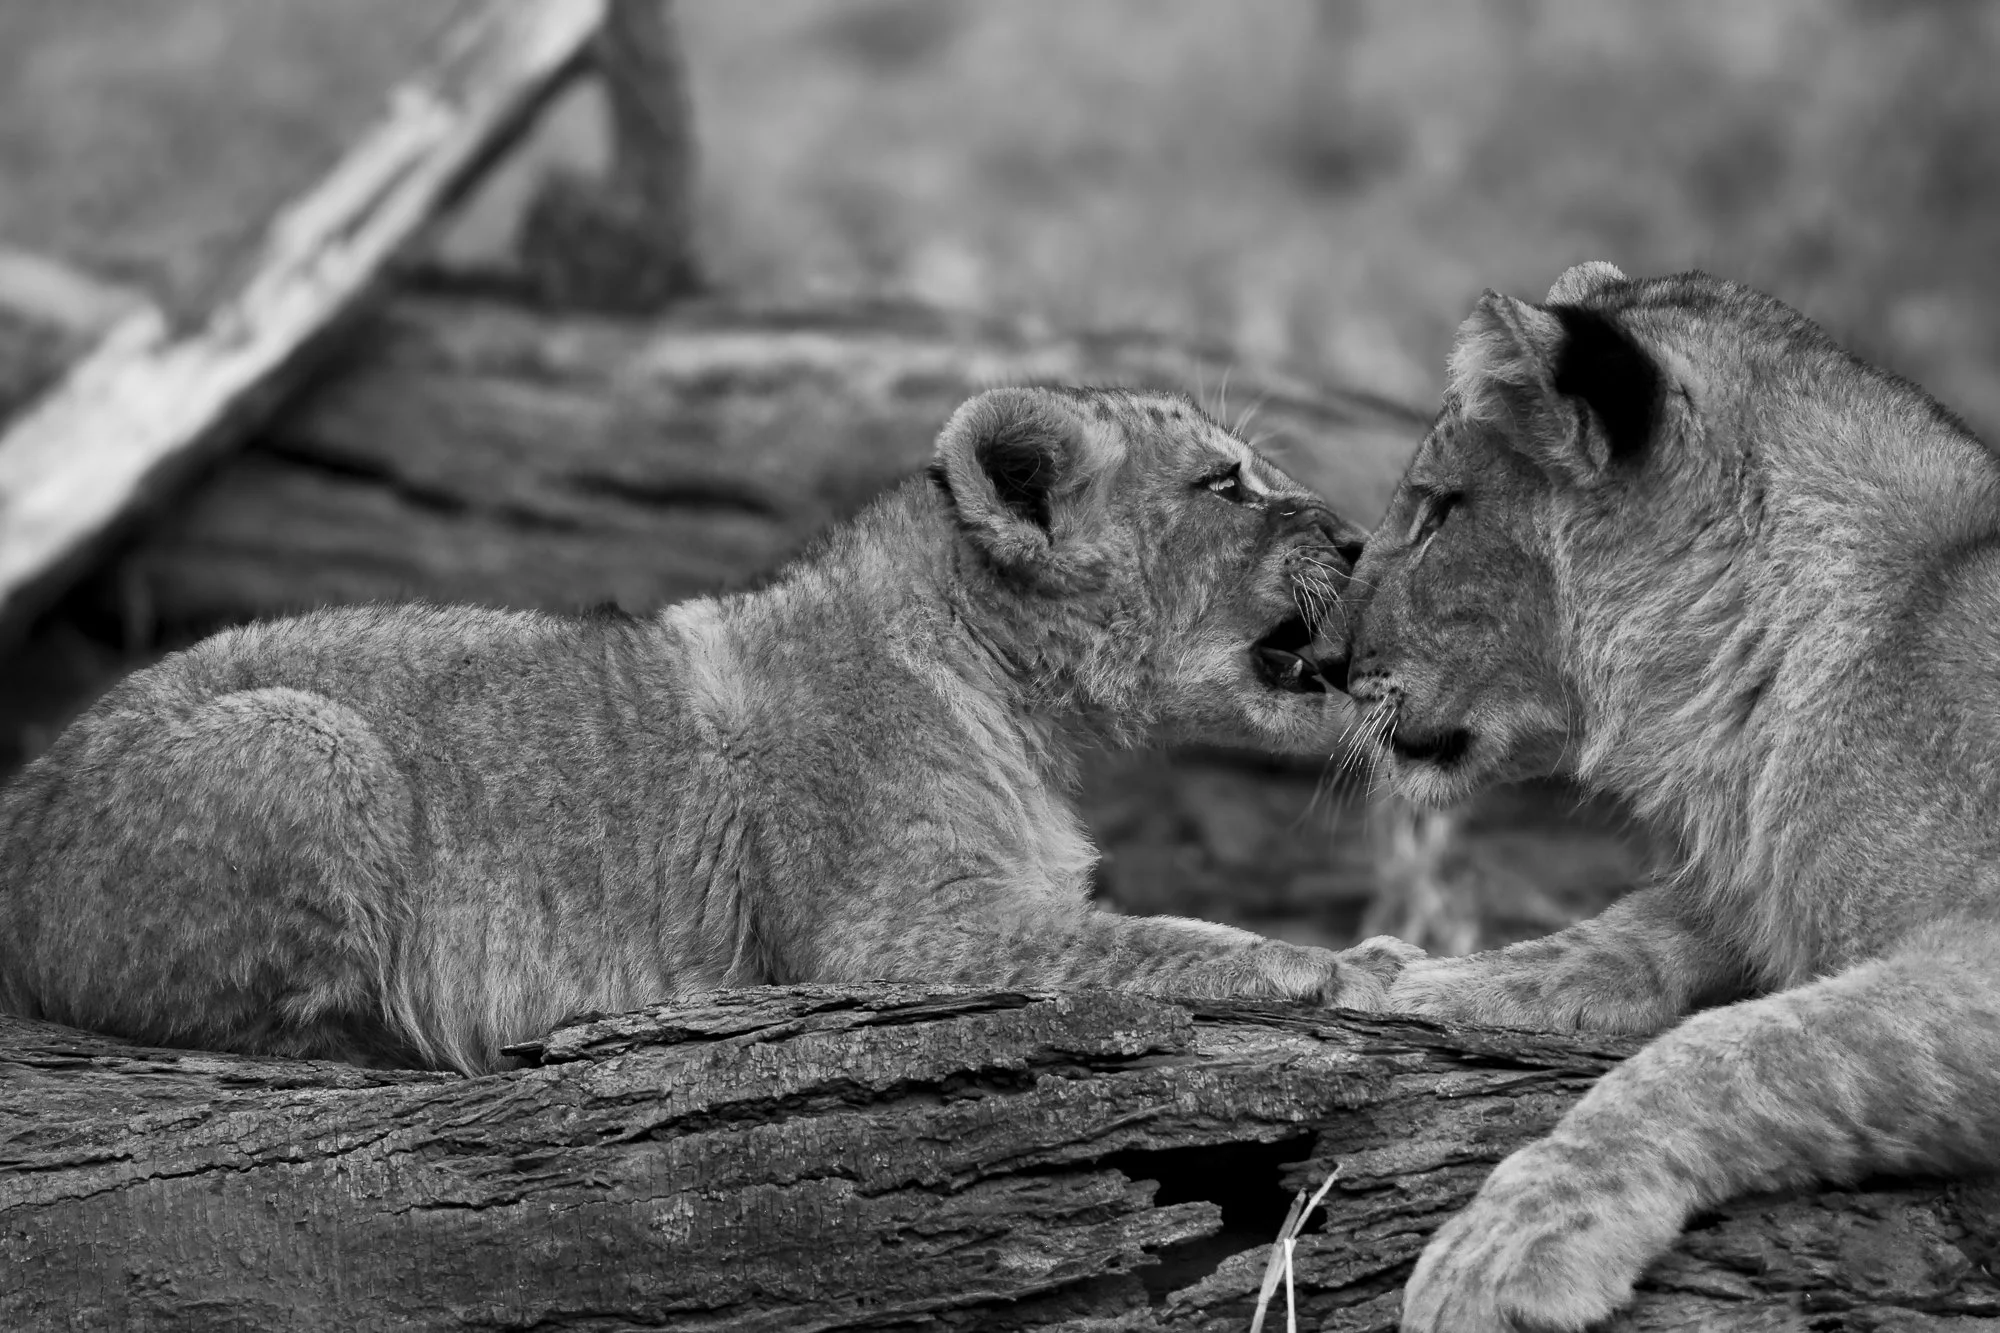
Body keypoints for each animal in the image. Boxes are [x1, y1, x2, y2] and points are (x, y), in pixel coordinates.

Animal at [0, 386, 1410, 1074]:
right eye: (1224, 485)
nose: (1356, 540)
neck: (1015, 697)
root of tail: (30, 784)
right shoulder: (887, 934)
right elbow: (1143, 941)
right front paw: (1336, 963)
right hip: (308, 738)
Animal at [1342, 264, 2000, 1332]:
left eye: (1439, 510)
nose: (1323, 659)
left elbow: (1741, 1047)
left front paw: (1513, 1239)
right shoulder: (1757, 885)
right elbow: (1626, 931)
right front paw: (1407, 977)